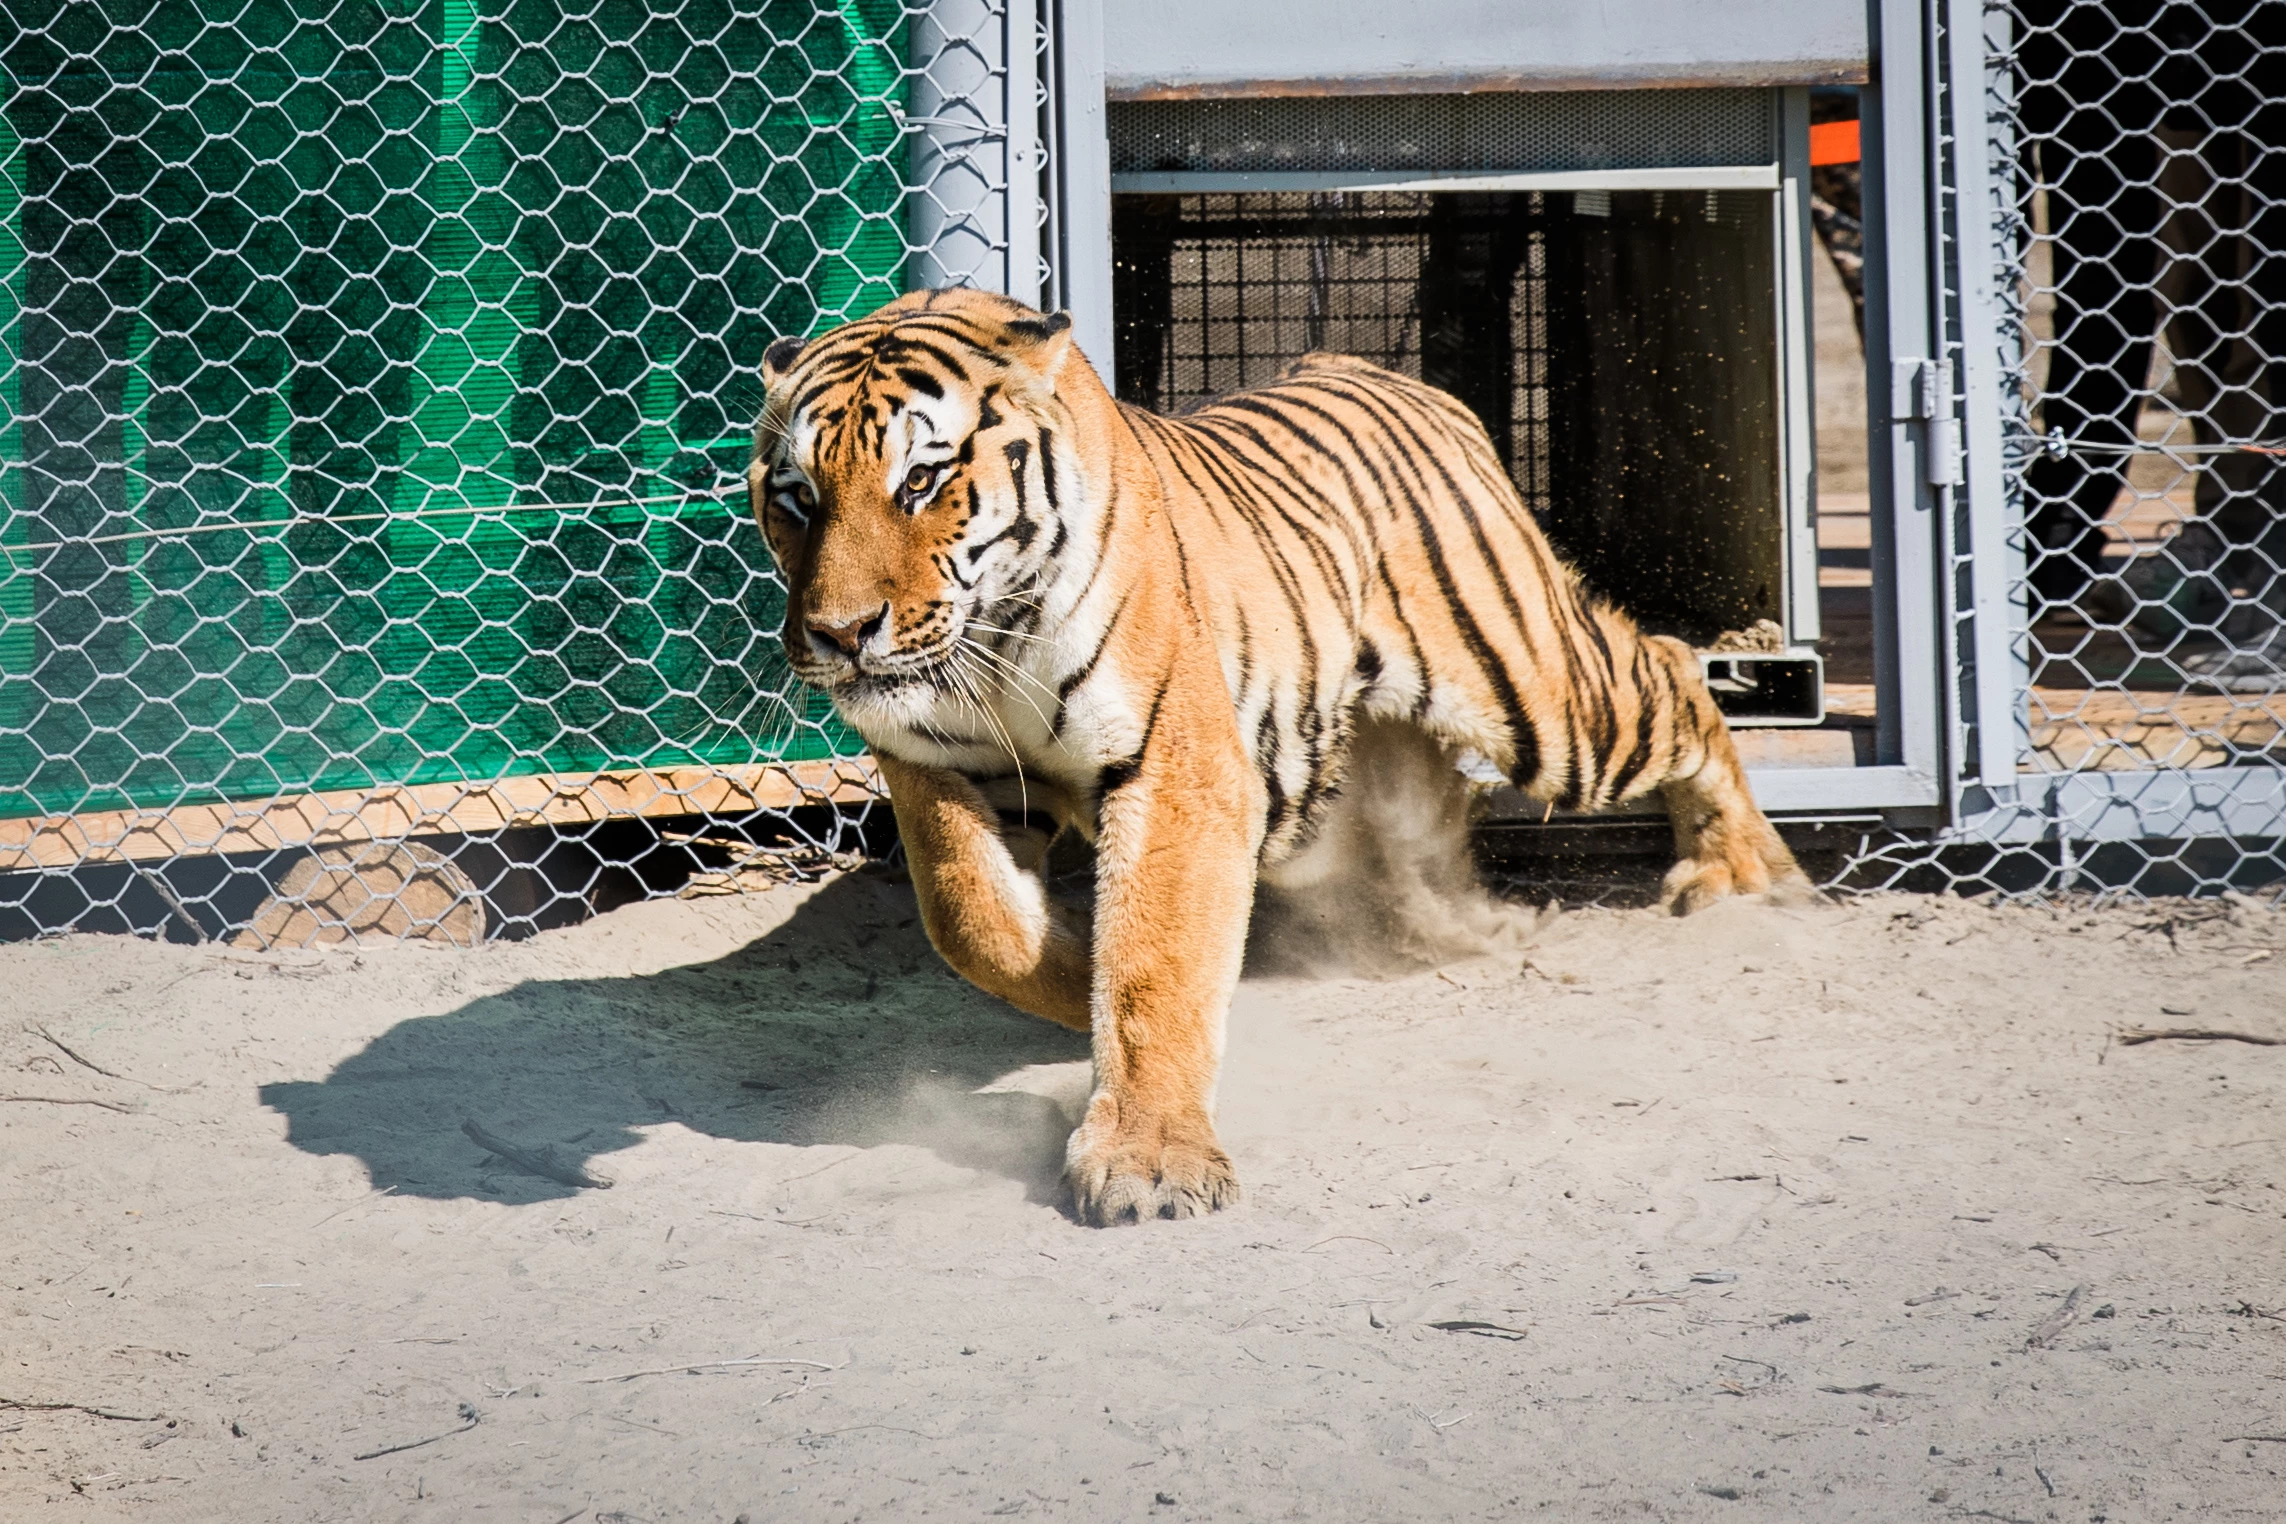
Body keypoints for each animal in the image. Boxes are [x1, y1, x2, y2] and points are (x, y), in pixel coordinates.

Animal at [749, 285, 1801, 1224]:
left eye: (920, 481)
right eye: (798, 497)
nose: (839, 634)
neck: (992, 638)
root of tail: (1371, 368)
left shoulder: (1178, 769)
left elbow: (1154, 963)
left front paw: (1148, 1161)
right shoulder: (937, 766)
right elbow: (975, 921)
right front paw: (1073, 970)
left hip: (1542, 699)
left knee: (1673, 669)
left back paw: (1746, 873)